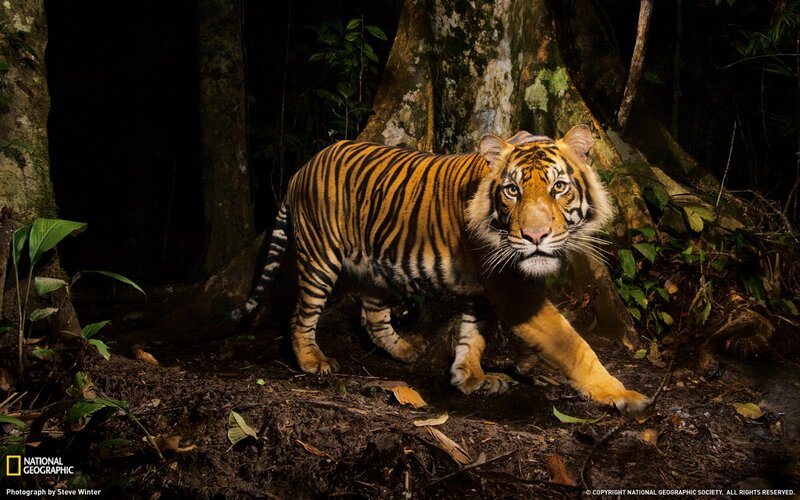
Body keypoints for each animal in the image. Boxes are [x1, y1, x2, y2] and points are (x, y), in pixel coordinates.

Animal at [233, 124, 650, 412]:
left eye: (559, 187)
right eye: (512, 190)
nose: (535, 235)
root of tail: (301, 168)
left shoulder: (485, 289)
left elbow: (472, 336)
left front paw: (471, 378)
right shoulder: (512, 289)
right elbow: (574, 345)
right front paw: (620, 393)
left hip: (377, 266)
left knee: (373, 316)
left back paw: (406, 350)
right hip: (320, 257)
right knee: (302, 314)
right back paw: (312, 361)